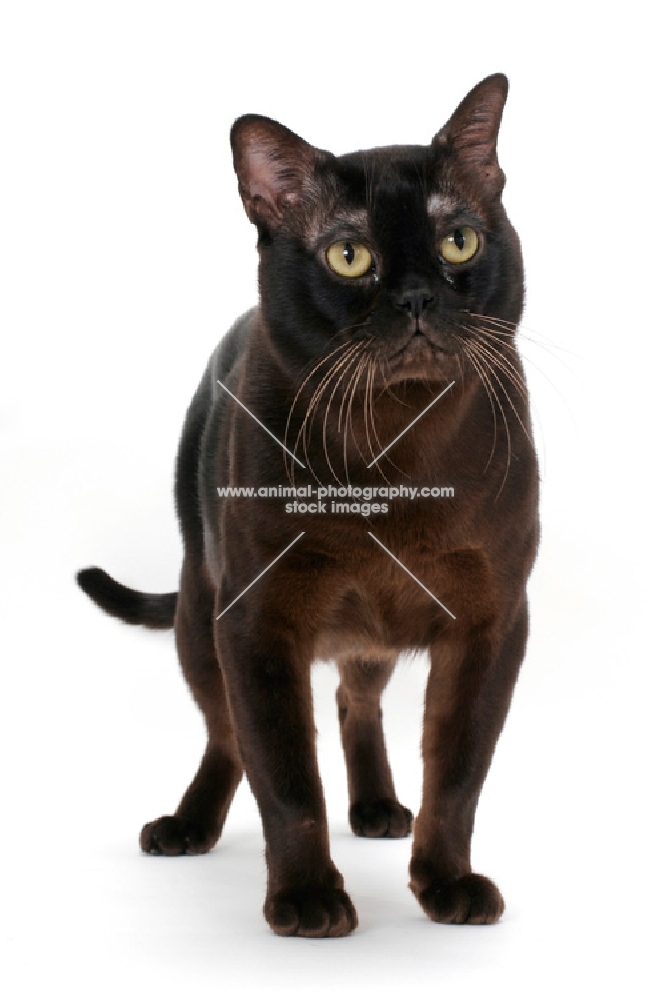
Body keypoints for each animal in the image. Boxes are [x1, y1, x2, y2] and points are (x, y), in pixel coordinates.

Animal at [78, 72, 536, 936]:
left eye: (458, 243)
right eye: (350, 257)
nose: (418, 297)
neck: (396, 446)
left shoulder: (490, 623)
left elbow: (458, 775)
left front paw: (446, 885)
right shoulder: (259, 623)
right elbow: (286, 780)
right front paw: (307, 900)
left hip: (369, 632)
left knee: (357, 700)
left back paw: (379, 810)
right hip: (202, 618)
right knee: (227, 737)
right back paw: (187, 827)